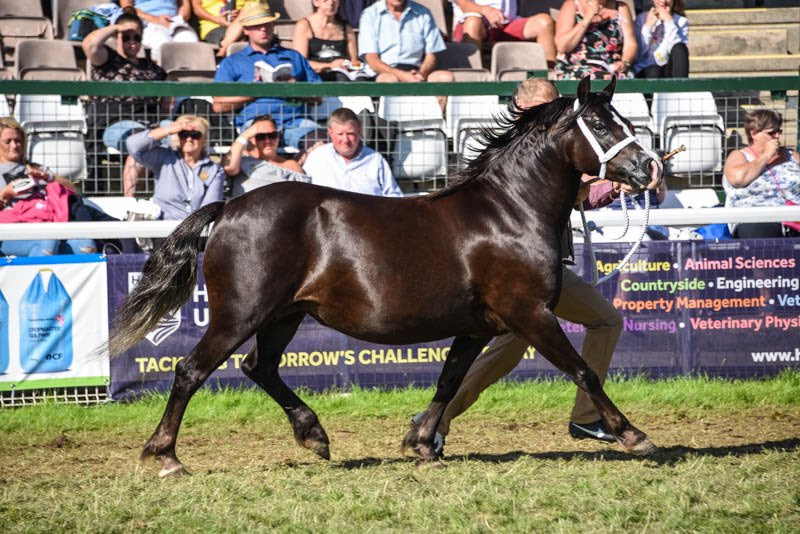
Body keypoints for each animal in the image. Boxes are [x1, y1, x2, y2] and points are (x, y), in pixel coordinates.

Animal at [110, 76, 663, 477]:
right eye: (601, 125)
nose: (650, 168)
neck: (508, 211)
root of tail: (227, 208)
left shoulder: (477, 327)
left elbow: (449, 380)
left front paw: (421, 443)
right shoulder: (530, 315)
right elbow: (584, 370)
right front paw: (633, 436)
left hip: (283, 315)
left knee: (259, 368)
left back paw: (315, 436)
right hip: (240, 313)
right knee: (191, 371)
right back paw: (166, 456)